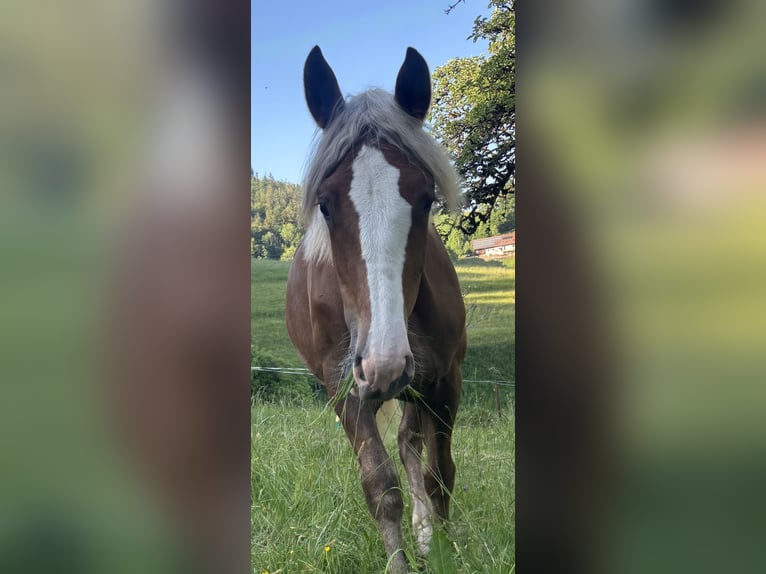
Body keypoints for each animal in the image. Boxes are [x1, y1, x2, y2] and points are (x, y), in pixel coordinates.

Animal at [285, 46, 466, 573]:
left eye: (426, 199)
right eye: (325, 205)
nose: (384, 363)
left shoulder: (444, 380)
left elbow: (440, 473)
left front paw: (443, 549)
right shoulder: (345, 387)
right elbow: (381, 488)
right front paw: (402, 560)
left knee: (412, 446)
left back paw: (427, 533)